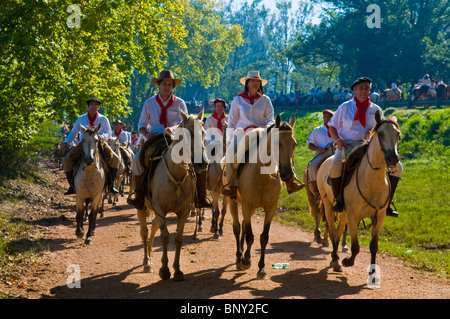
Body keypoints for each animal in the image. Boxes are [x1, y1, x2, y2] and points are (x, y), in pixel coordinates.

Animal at [137, 111, 207, 282]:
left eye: (203, 133)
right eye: (187, 134)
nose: (202, 163)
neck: (176, 175)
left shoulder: (183, 212)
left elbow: (178, 239)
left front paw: (177, 270)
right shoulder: (160, 210)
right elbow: (165, 237)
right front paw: (164, 270)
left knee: (153, 228)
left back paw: (150, 255)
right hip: (142, 207)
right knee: (144, 231)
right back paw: (146, 261)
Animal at [229, 115, 298, 280]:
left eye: (294, 144)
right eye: (277, 143)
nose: (288, 174)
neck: (262, 176)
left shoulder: (271, 208)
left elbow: (264, 237)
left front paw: (261, 268)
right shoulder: (246, 205)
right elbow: (250, 236)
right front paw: (246, 260)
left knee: (243, 225)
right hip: (233, 202)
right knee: (237, 227)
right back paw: (239, 257)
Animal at [316, 110, 400, 276]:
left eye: (398, 135)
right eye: (381, 133)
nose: (393, 158)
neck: (372, 181)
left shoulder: (379, 217)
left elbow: (373, 246)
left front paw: (373, 272)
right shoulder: (354, 216)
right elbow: (355, 247)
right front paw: (347, 261)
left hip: (345, 213)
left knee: (339, 230)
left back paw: (335, 258)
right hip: (329, 205)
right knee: (332, 228)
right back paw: (336, 259)